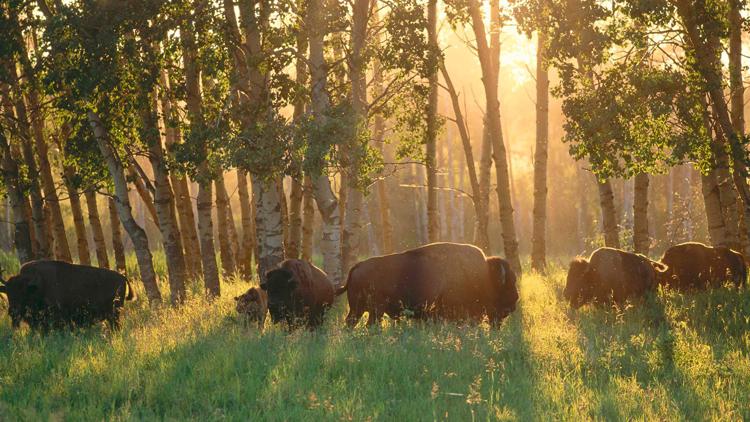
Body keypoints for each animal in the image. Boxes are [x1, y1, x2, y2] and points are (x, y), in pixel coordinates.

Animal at [0, 258, 137, 332]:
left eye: (23, 291)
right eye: (8, 292)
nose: (12, 311)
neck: (38, 285)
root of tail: (122, 277)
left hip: (114, 314)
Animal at [338, 241, 520, 326]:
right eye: (509, 283)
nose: (514, 303)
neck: (485, 275)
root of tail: (357, 266)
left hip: (358, 310)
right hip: (375, 311)